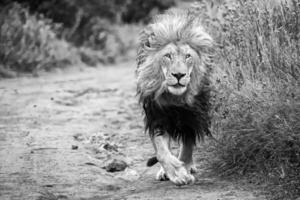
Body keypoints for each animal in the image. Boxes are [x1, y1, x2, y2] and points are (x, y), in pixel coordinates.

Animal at [136, 8, 213, 185]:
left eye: (188, 56)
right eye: (168, 56)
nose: (179, 75)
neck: (175, 99)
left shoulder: (192, 117)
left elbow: (187, 147)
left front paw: (184, 169)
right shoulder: (157, 118)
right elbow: (162, 151)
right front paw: (176, 172)